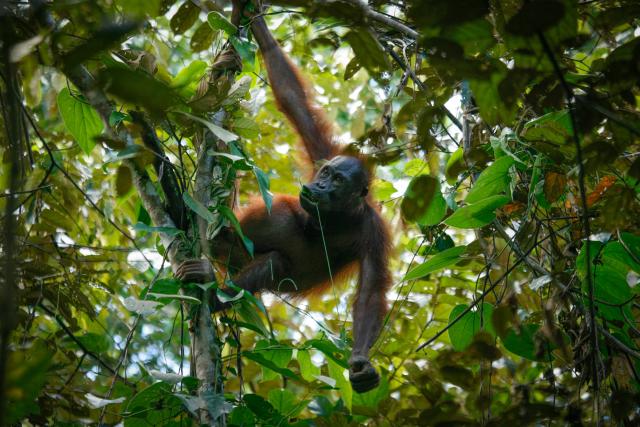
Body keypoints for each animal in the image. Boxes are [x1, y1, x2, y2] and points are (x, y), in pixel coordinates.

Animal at [176, 3, 392, 394]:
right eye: (326, 174)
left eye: (337, 180)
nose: (318, 187)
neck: (339, 213)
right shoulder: (323, 152)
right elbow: (295, 102)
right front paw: (259, 26)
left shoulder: (374, 230)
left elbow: (370, 291)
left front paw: (360, 362)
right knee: (279, 220)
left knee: (276, 260)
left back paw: (212, 293)